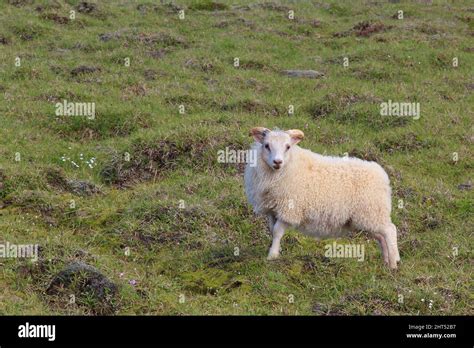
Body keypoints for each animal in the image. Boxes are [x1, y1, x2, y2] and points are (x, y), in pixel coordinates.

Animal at [244, 128, 400, 270]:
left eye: (287, 147)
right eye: (267, 145)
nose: (277, 162)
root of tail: (382, 175)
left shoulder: (289, 210)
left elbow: (277, 232)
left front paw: (272, 255)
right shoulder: (272, 210)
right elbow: (272, 230)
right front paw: (276, 250)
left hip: (373, 211)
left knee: (390, 231)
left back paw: (393, 263)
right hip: (369, 217)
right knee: (381, 237)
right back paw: (386, 261)